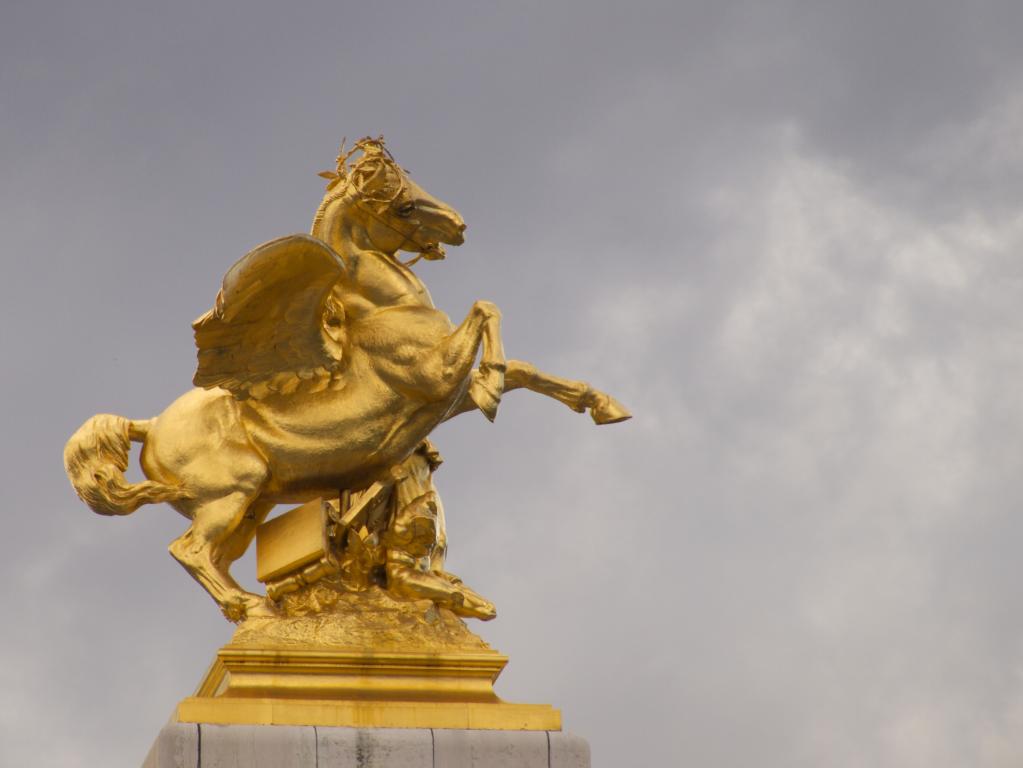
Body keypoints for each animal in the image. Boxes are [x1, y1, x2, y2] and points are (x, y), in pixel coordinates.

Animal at [65, 137, 630, 617]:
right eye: (401, 203)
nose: (459, 224)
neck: (384, 306)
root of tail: (149, 425)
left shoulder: (445, 397)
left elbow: (524, 369)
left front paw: (602, 404)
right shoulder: (434, 375)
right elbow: (486, 311)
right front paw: (494, 384)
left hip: (251, 507)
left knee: (216, 557)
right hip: (231, 495)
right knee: (188, 550)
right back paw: (252, 608)